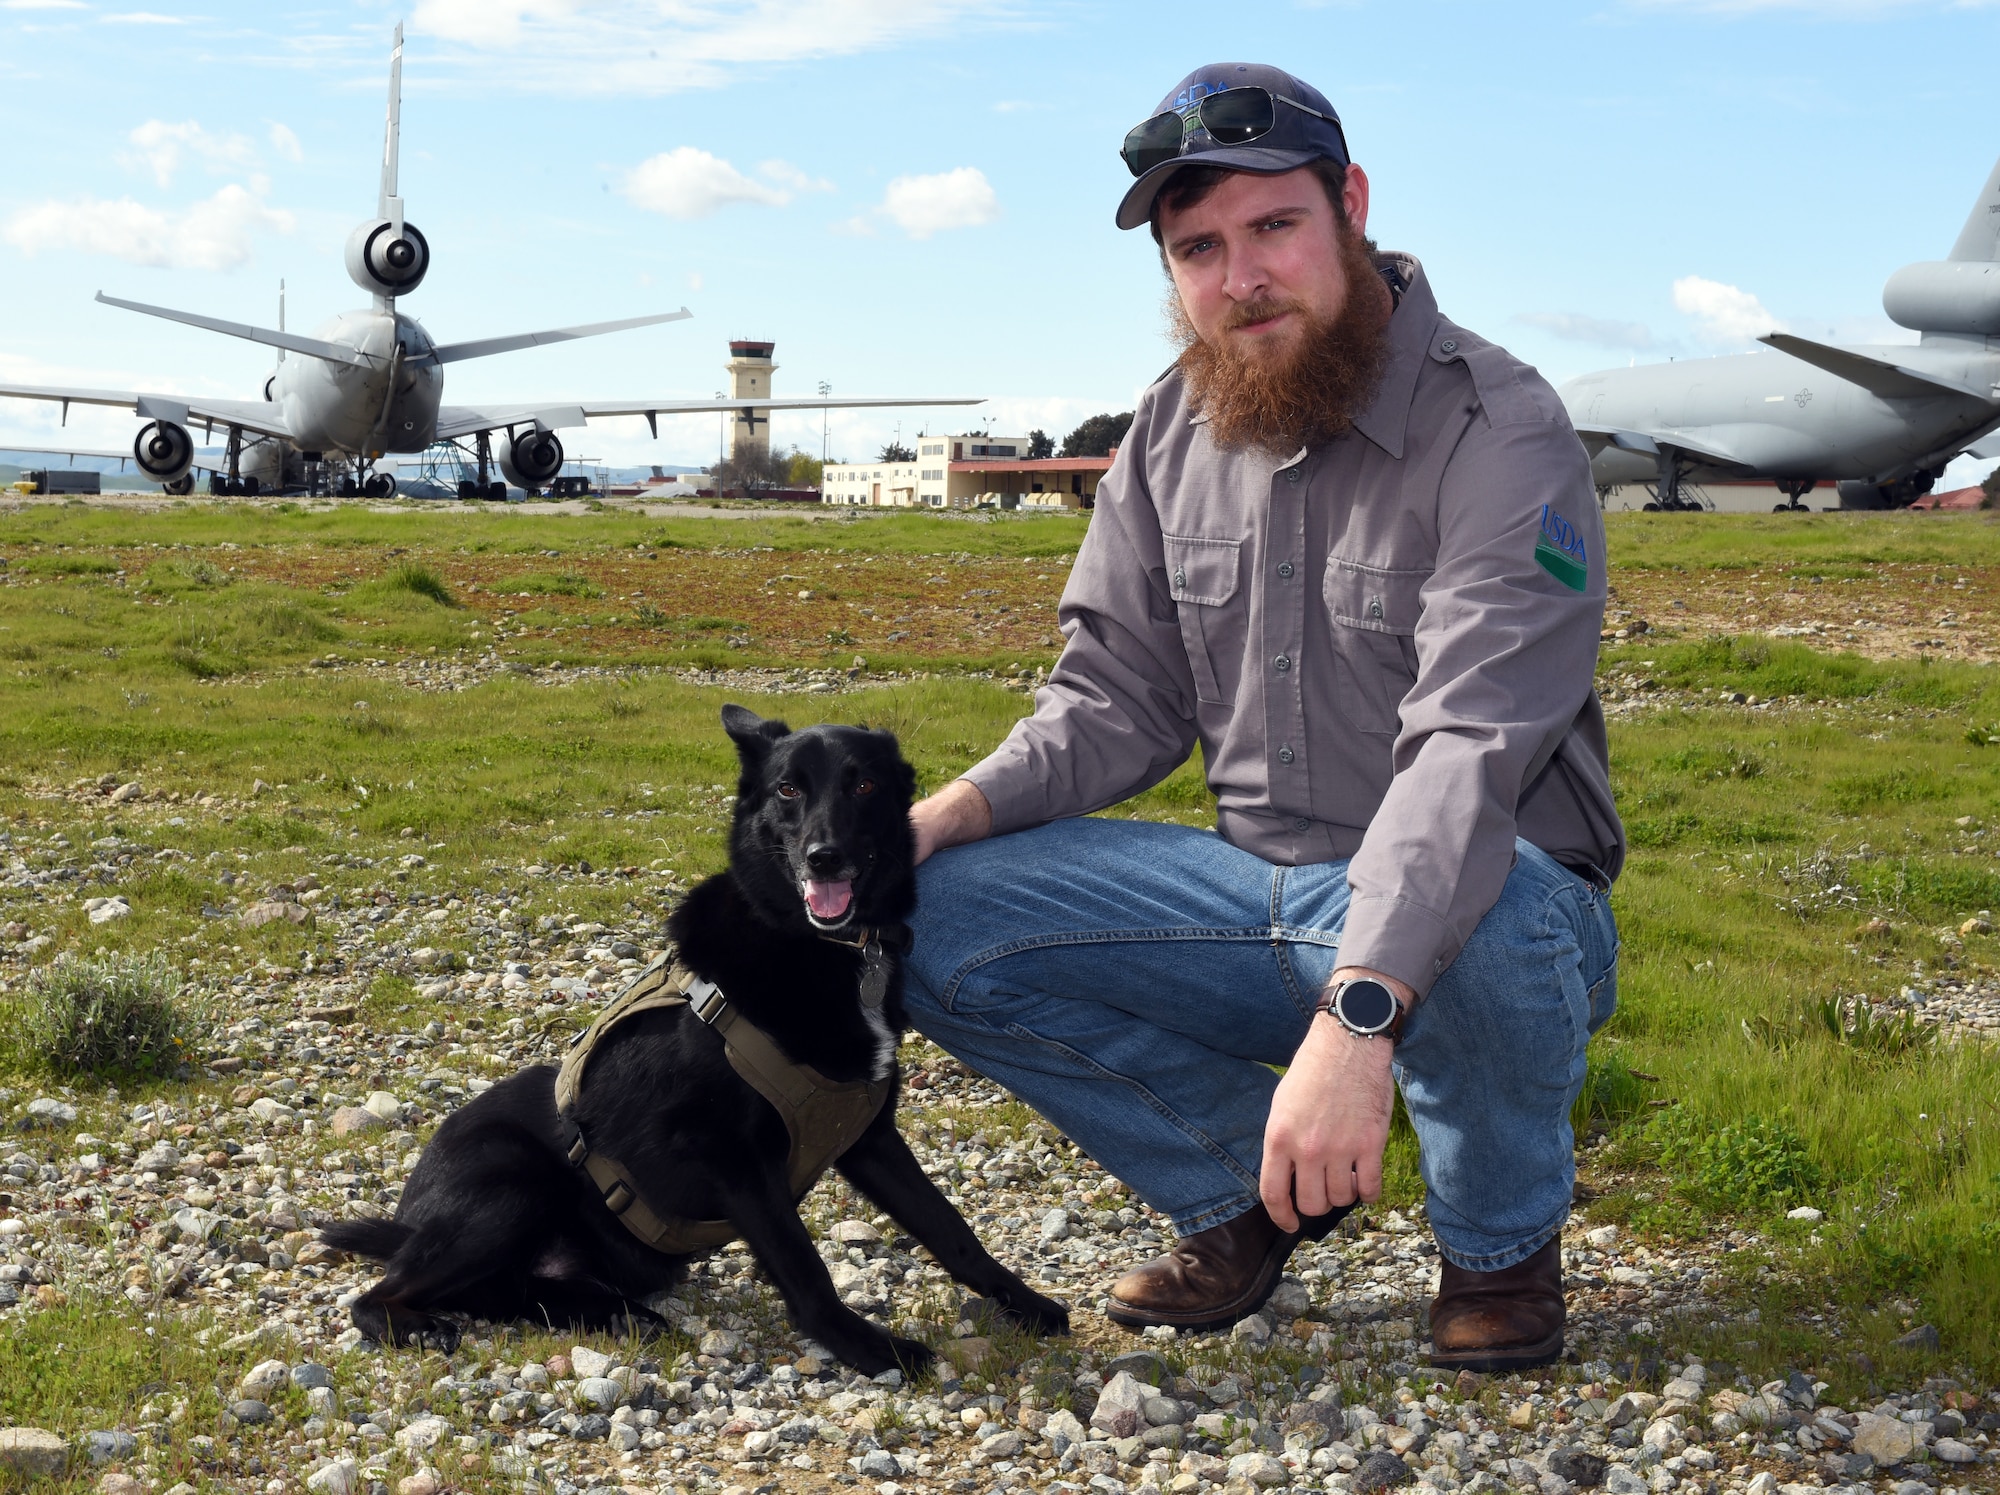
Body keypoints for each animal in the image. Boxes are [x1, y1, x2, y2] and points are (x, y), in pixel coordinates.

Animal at [326, 707, 1072, 1375]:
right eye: (787, 790)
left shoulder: (869, 1139)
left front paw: (1025, 1302)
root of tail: (409, 1219)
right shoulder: (734, 1159)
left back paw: (614, 1312)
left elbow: (951, 1229)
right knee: (377, 1295)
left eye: (863, 785)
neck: (819, 947)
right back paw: (424, 1324)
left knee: (505, 1290)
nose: (823, 857)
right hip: (509, 1181)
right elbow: (807, 1269)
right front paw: (871, 1349)